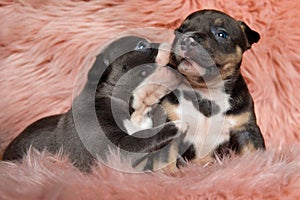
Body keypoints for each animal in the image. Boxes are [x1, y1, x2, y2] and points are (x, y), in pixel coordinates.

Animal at [2, 36, 185, 172]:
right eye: (141, 45)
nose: (172, 43)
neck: (136, 110)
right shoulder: (114, 150)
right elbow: (144, 138)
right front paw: (175, 125)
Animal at [131, 9, 264, 166]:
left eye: (222, 34)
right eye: (179, 31)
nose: (187, 39)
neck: (206, 91)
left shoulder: (246, 130)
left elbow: (254, 154)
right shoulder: (171, 126)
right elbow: (165, 161)